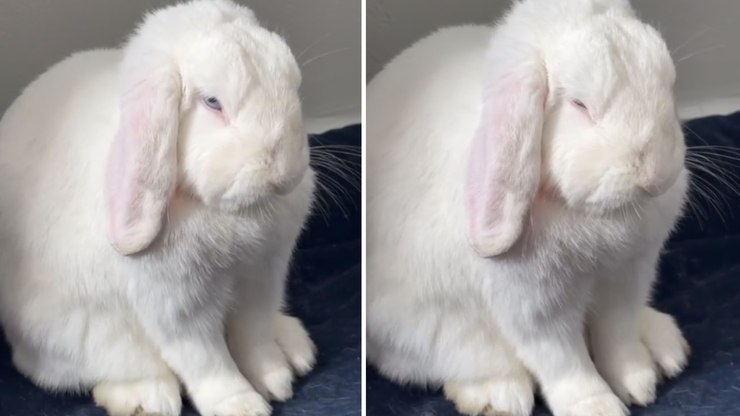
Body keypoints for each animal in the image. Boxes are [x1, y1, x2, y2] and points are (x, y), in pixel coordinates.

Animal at [0, 1, 317, 415]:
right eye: (212, 102)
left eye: (293, 84)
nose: (284, 174)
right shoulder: (176, 305)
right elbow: (206, 360)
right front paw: (241, 406)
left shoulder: (262, 278)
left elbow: (254, 335)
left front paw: (276, 380)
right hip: (78, 339)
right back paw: (146, 399)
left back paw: (296, 350)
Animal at [367, 0, 690, 415]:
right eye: (580, 105)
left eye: (668, 85)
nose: (656, 174)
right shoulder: (534, 304)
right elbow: (563, 359)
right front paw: (596, 406)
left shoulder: (627, 277)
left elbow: (617, 335)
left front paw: (639, 382)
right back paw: (497, 396)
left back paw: (666, 349)